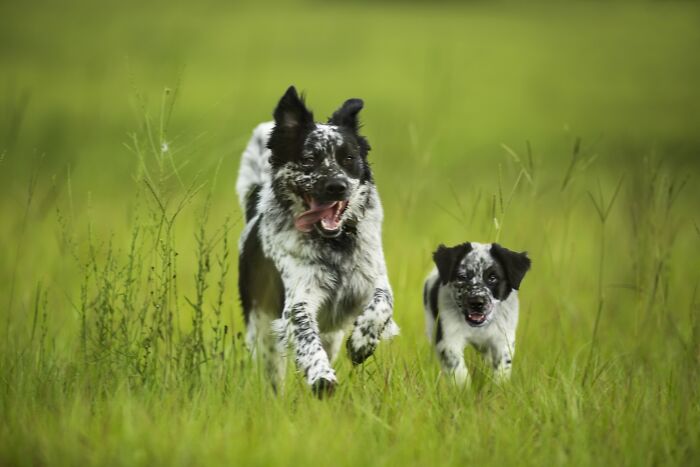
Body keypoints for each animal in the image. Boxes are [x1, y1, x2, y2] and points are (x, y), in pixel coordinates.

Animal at [238, 86, 396, 396]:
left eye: (349, 159)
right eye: (309, 159)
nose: (337, 186)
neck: (334, 244)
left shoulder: (371, 281)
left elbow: (382, 304)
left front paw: (361, 343)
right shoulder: (298, 300)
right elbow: (306, 336)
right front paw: (321, 377)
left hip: (330, 335)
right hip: (262, 332)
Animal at [422, 243, 532, 386]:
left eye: (492, 278)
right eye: (462, 277)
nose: (476, 302)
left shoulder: (503, 338)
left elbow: (502, 368)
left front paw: (498, 387)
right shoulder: (449, 339)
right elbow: (458, 368)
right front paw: (464, 389)